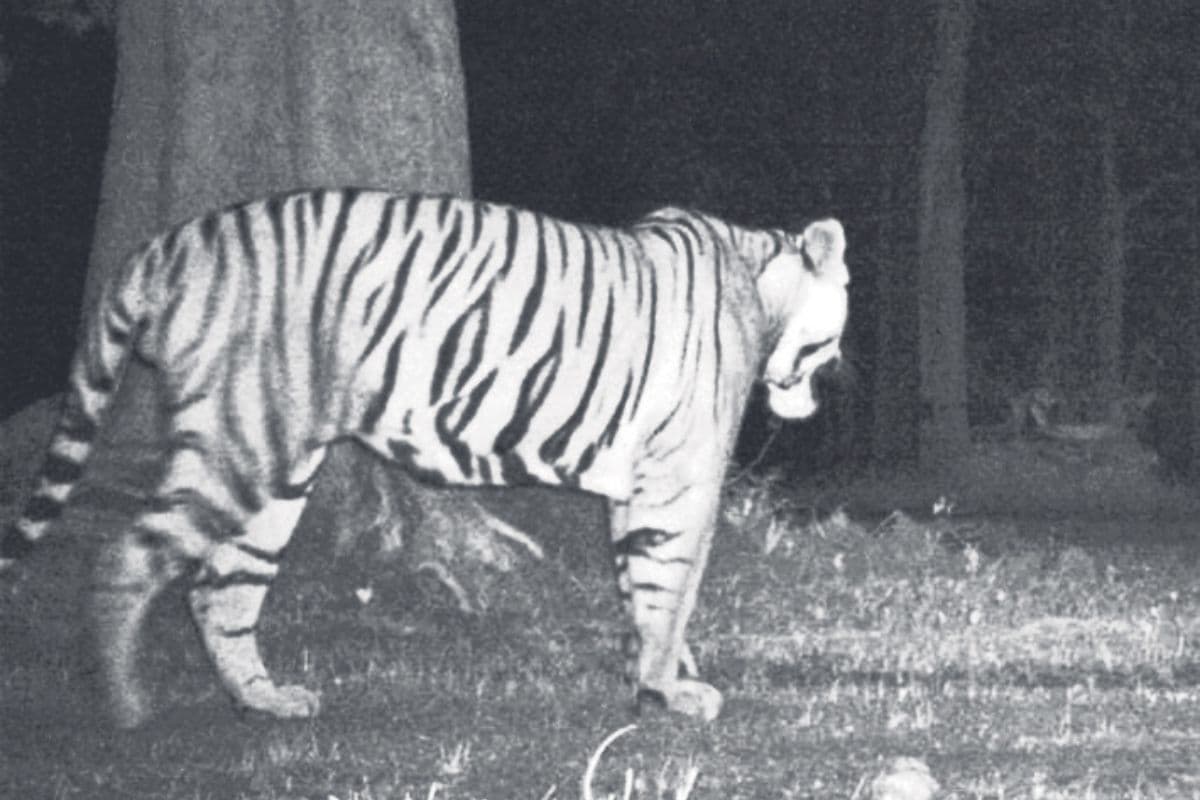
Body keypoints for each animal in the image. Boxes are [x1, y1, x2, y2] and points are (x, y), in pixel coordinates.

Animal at [1, 188, 849, 728]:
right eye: (835, 327)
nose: (826, 388)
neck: (759, 278)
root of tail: (168, 243)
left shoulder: (638, 478)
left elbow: (639, 586)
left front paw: (651, 677)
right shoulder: (682, 476)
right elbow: (672, 585)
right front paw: (669, 690)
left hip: (276, 468)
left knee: (220, 589)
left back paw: (265, 702)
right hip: (235, 445)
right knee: (123, 559)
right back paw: (125, 706)